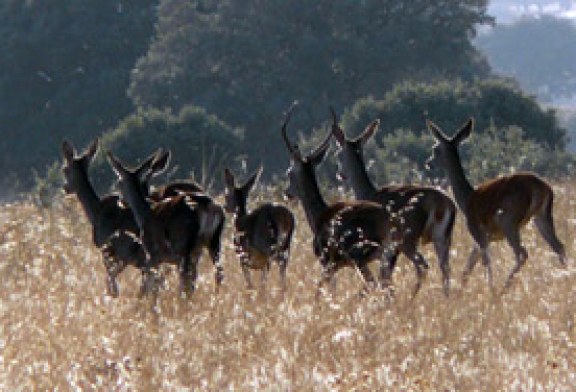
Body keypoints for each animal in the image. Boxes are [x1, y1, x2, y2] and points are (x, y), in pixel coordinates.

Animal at [107, 152, 226, 296]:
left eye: (119, 182)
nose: (121, 201)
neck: (145, 213)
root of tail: (207, 205)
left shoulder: (152, 254)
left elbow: (152, 285)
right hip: (213, 241)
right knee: (217, 273)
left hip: (183, 244)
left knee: (185, 279)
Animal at [280, 104, 414, 298]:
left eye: (289, 172)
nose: (287, 193)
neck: (320, 215)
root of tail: (390, 223)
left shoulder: (327, 262)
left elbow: (323, 291)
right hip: (386, 259)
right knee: (387, 288)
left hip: (360, 257)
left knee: (374, 285)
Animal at [330, 108, 456, 296]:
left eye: (337, 153)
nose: (340, 174)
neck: (370, 192)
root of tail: (443, 202)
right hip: (442, 238)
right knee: (445, 269)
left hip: (408, 241)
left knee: (423, 266)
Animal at [426, 118, 564, 292]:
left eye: (435, 148)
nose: (428, 163)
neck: (466, 200)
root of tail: (541, 188)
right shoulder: (483, 239)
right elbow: (467, 268)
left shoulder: (477, 232)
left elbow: (485, 262)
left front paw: (490, 290)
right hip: (542, 216)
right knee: (559, 246)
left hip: (508, 221)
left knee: (522, 253)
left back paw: (504, 289)